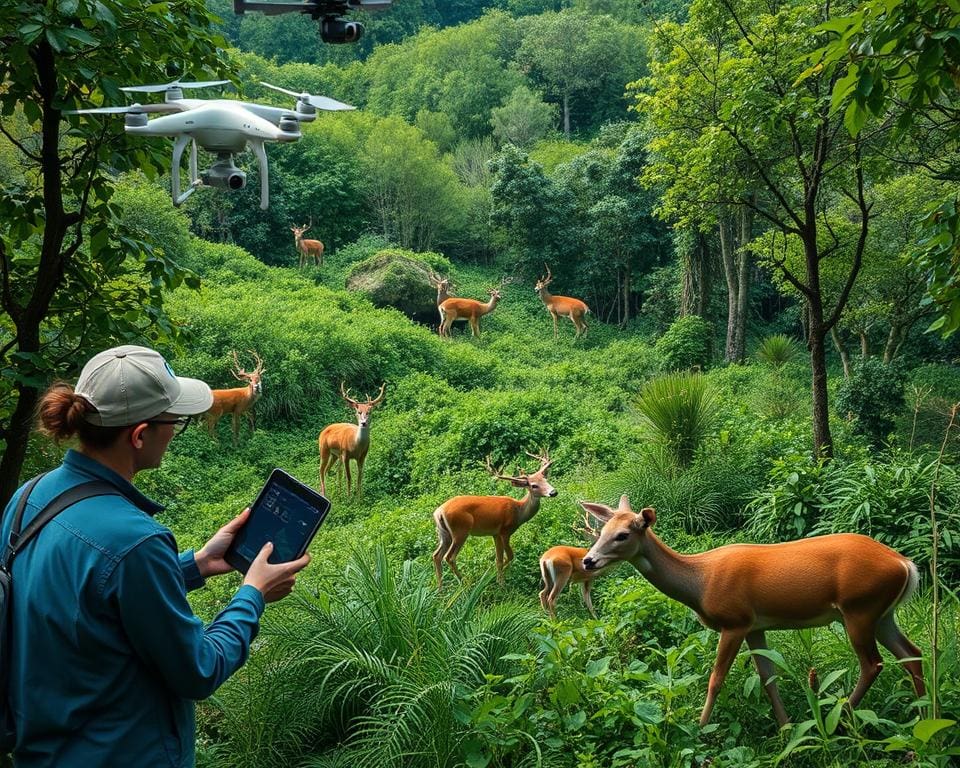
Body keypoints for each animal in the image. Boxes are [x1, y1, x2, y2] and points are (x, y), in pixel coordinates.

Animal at [434, 450, 560, 588]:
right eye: (534, 485)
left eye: (545, 479)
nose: (553, 492)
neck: (518, 512)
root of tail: (439, 512)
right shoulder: (505, 531)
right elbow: (509, 556)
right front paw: (500, 581)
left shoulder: (495, 534)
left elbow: (498, 559)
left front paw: (498, 580)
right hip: (460, 530)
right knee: (449, 557)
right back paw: (465, 583)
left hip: (444, 534)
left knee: (436, 555)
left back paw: (440, 588)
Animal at [580, 496, 928, 728]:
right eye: (600, 532)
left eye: (623, 535)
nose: (588, 560)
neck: (700, 581)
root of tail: (905, 564)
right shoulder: (756, 626)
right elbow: (768, 677)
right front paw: (786, 728)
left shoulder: (734, 621)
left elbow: (716, 679)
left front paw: (699, 728)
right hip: (881, 614)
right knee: (912, 653)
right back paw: (925, 714)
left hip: (859, 608)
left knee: (873, 663)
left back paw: (841, 718)